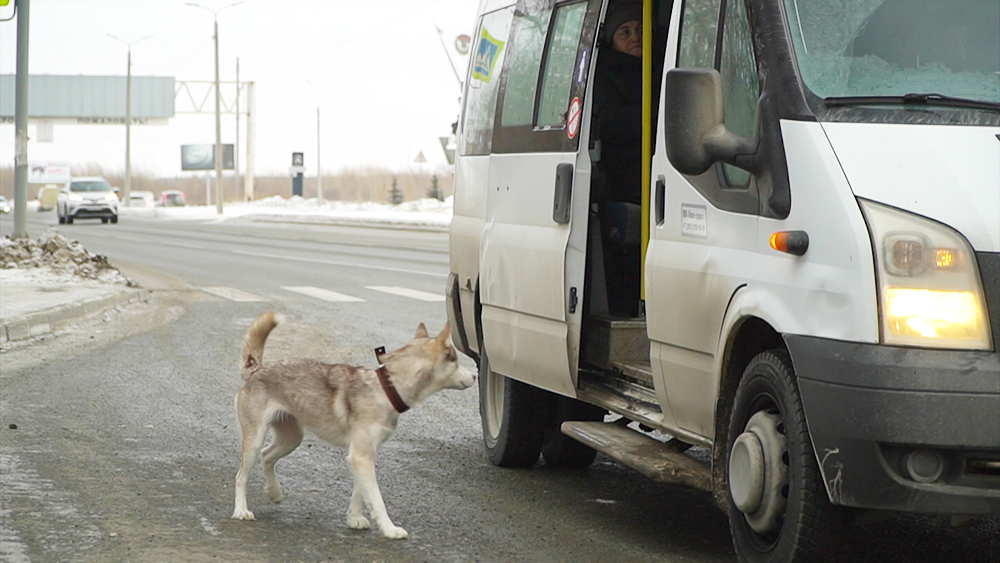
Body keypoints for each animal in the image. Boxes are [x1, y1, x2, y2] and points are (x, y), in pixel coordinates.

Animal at [232, 310, 474, 540]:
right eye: (456, 360)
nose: (474, 375)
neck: (386, 387)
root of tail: (257, 369)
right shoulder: (361, 456)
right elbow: (377, 499)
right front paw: (389, 528)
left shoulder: (364, 455)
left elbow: (361, 492)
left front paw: (355, 518)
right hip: (255, 440)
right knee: (241, 476)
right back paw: (241, 511)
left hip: (290, 439)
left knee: (267, 455)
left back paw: (274, 492)